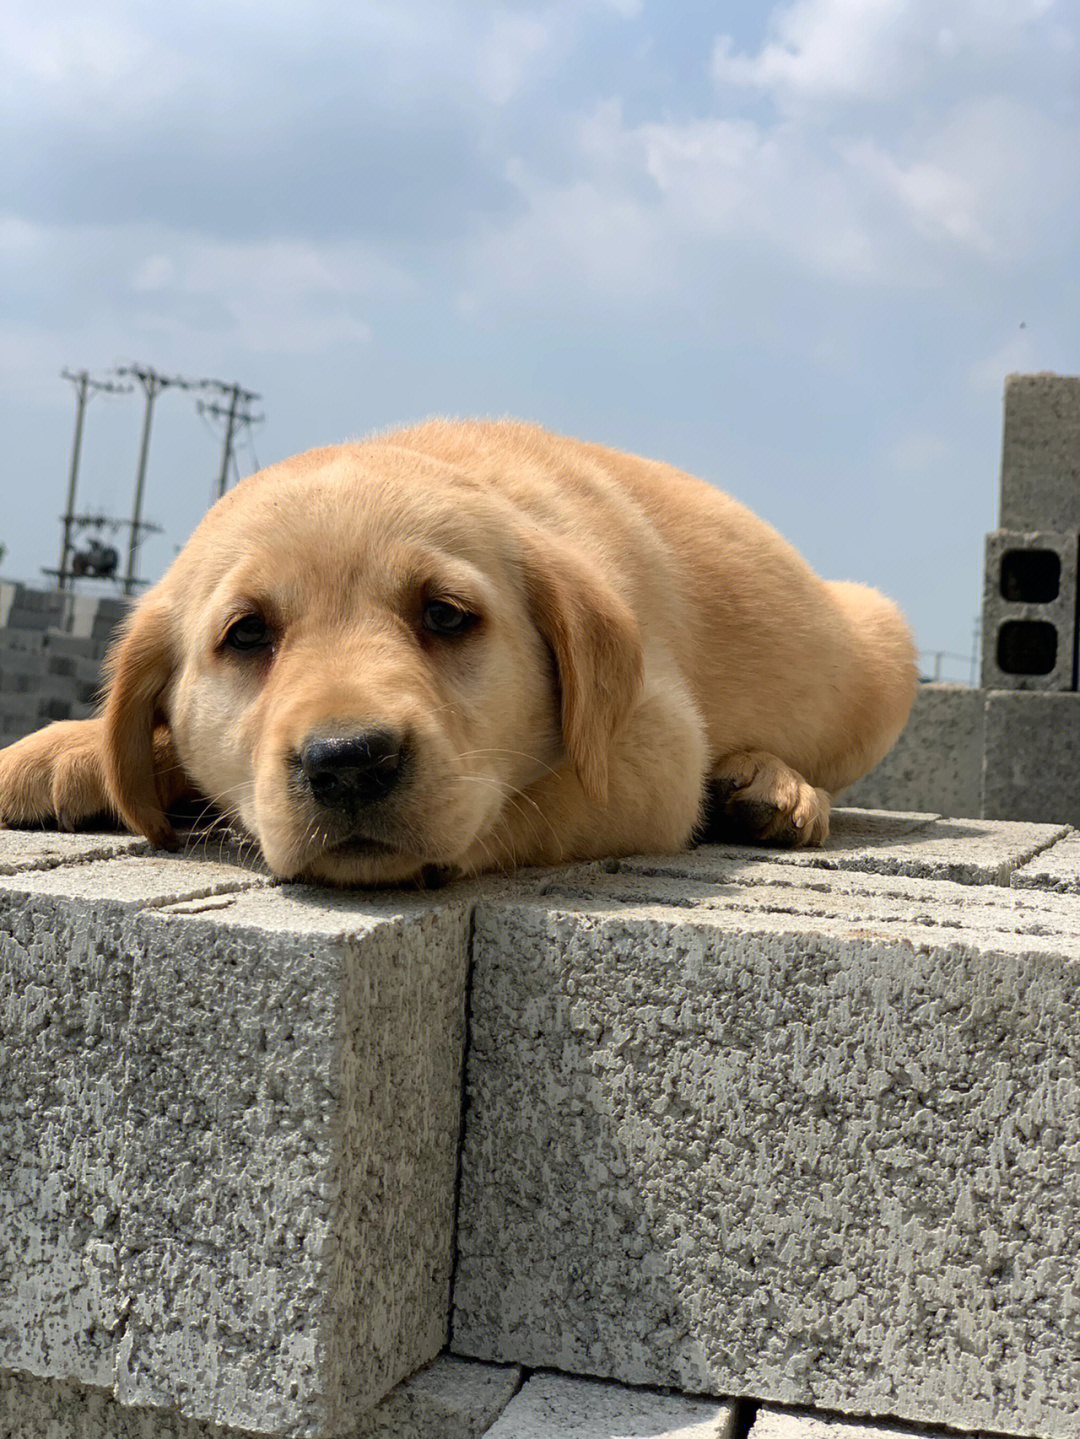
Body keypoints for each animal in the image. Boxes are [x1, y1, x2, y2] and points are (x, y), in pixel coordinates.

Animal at [0, 420, 914, 880]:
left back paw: (772, 785)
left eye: (445, 615)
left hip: (884, 639)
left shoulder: (653, 745)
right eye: (247, 633)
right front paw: (64, 750)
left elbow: (523, 798)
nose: (349, 761)